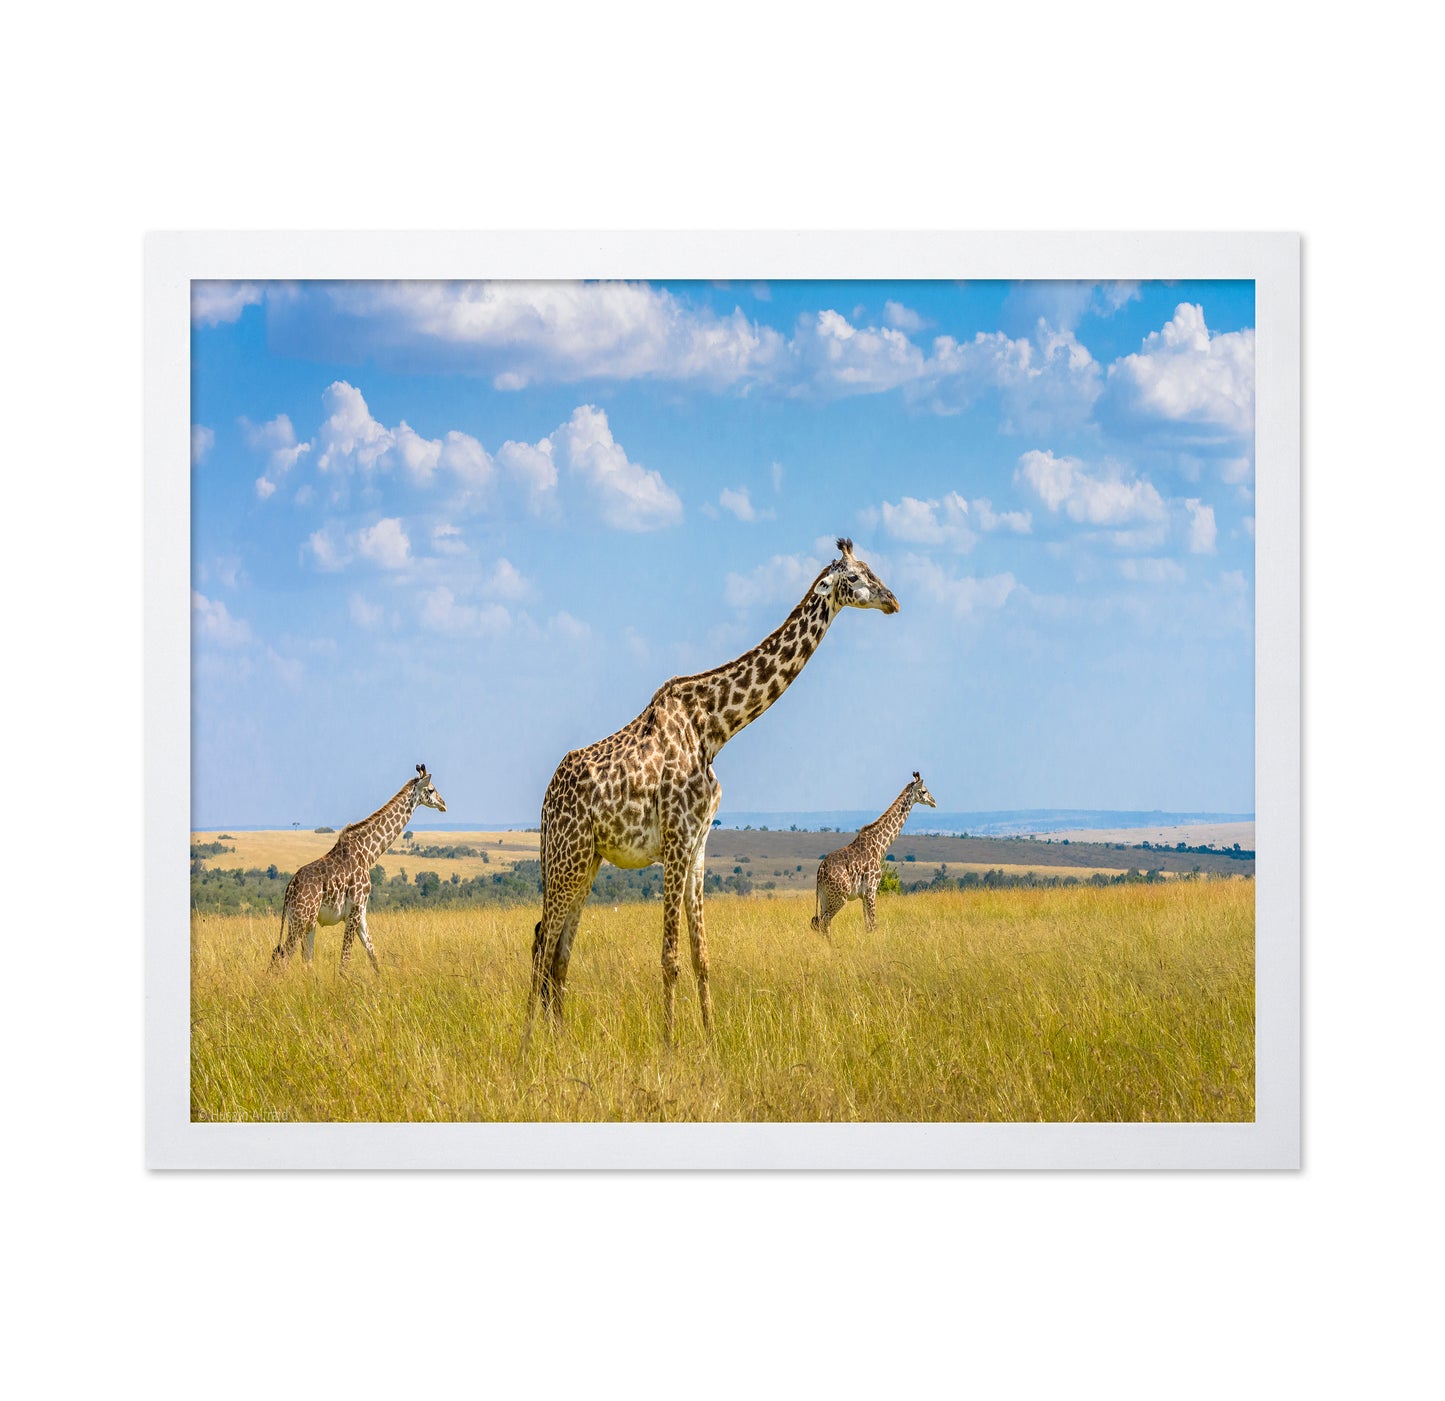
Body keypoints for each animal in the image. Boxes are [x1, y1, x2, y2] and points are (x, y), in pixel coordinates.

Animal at [269, 764, 447, 973]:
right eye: (431, 789)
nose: (444, 804)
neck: (368, 853)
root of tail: (289, 889)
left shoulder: (361, 913)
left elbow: (373, 955)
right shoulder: (353, 912)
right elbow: (345, 963)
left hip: (306, 922)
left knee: (304, 961)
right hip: (301, 919)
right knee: (282, 959)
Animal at [526, 538, 900, 1047]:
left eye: (871, 569)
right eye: (857, 577)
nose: (892, 600)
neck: (714, 728)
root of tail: (546, 799)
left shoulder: (699, 845)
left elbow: (701, 956)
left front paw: (710, 1038)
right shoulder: (675, 842)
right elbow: (669, 957)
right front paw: (668, 1045)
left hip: (586, 861)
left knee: (558, 951)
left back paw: (558, 1041)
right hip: (567, 858)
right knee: (542, 945)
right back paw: (528, 1045)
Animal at [811, 771, 937, 938]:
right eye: (923, 791)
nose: (934, 802)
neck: (880, 845)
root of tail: (820, 871)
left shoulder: (864, 894)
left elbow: (868, 925)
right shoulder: (871, 888)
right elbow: (874, 924)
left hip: (825, 896)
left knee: (821, 922)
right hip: (840, 896)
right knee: (824, 921)